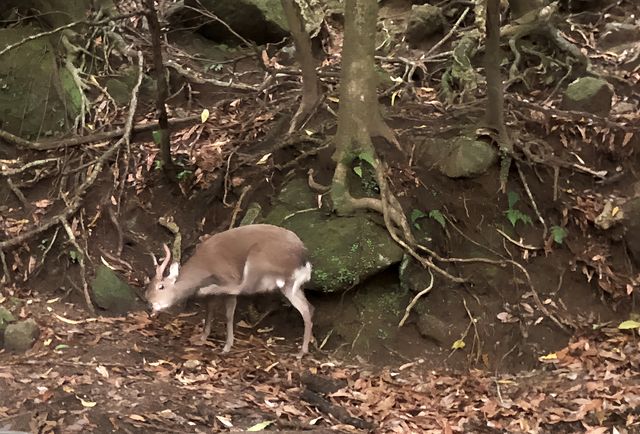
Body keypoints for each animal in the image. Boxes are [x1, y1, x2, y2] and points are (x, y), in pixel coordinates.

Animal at [145, 222, 316, 358]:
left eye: (161, 286)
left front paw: (227, 346)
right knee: (307, 308)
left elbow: (228, 314)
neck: (205, 267)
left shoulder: (229, 276)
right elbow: (210, 310)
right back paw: (302, 352)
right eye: (148, 286)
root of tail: (304, 259)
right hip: (290, 285)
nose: (149, 304)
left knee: (244, 287)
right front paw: (202, 338)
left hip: (257, 259)